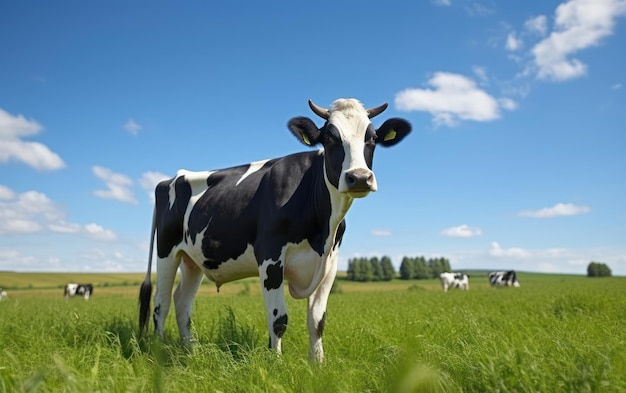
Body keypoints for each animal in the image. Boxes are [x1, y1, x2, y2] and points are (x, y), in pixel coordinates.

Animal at [136, 98, 410, 362]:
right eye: (330, 138)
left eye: (372, 138)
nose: (360, 177)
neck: (323, 228)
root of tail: (168, 179)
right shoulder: (269, 255)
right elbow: (279, 320)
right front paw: (276, 364)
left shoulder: (330, 262)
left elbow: (318, 321)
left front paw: (318, 365)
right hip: (167, 251)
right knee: (160, 304)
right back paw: (159, 352)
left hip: (193, 259)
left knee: (182, 302)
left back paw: (190, 351)